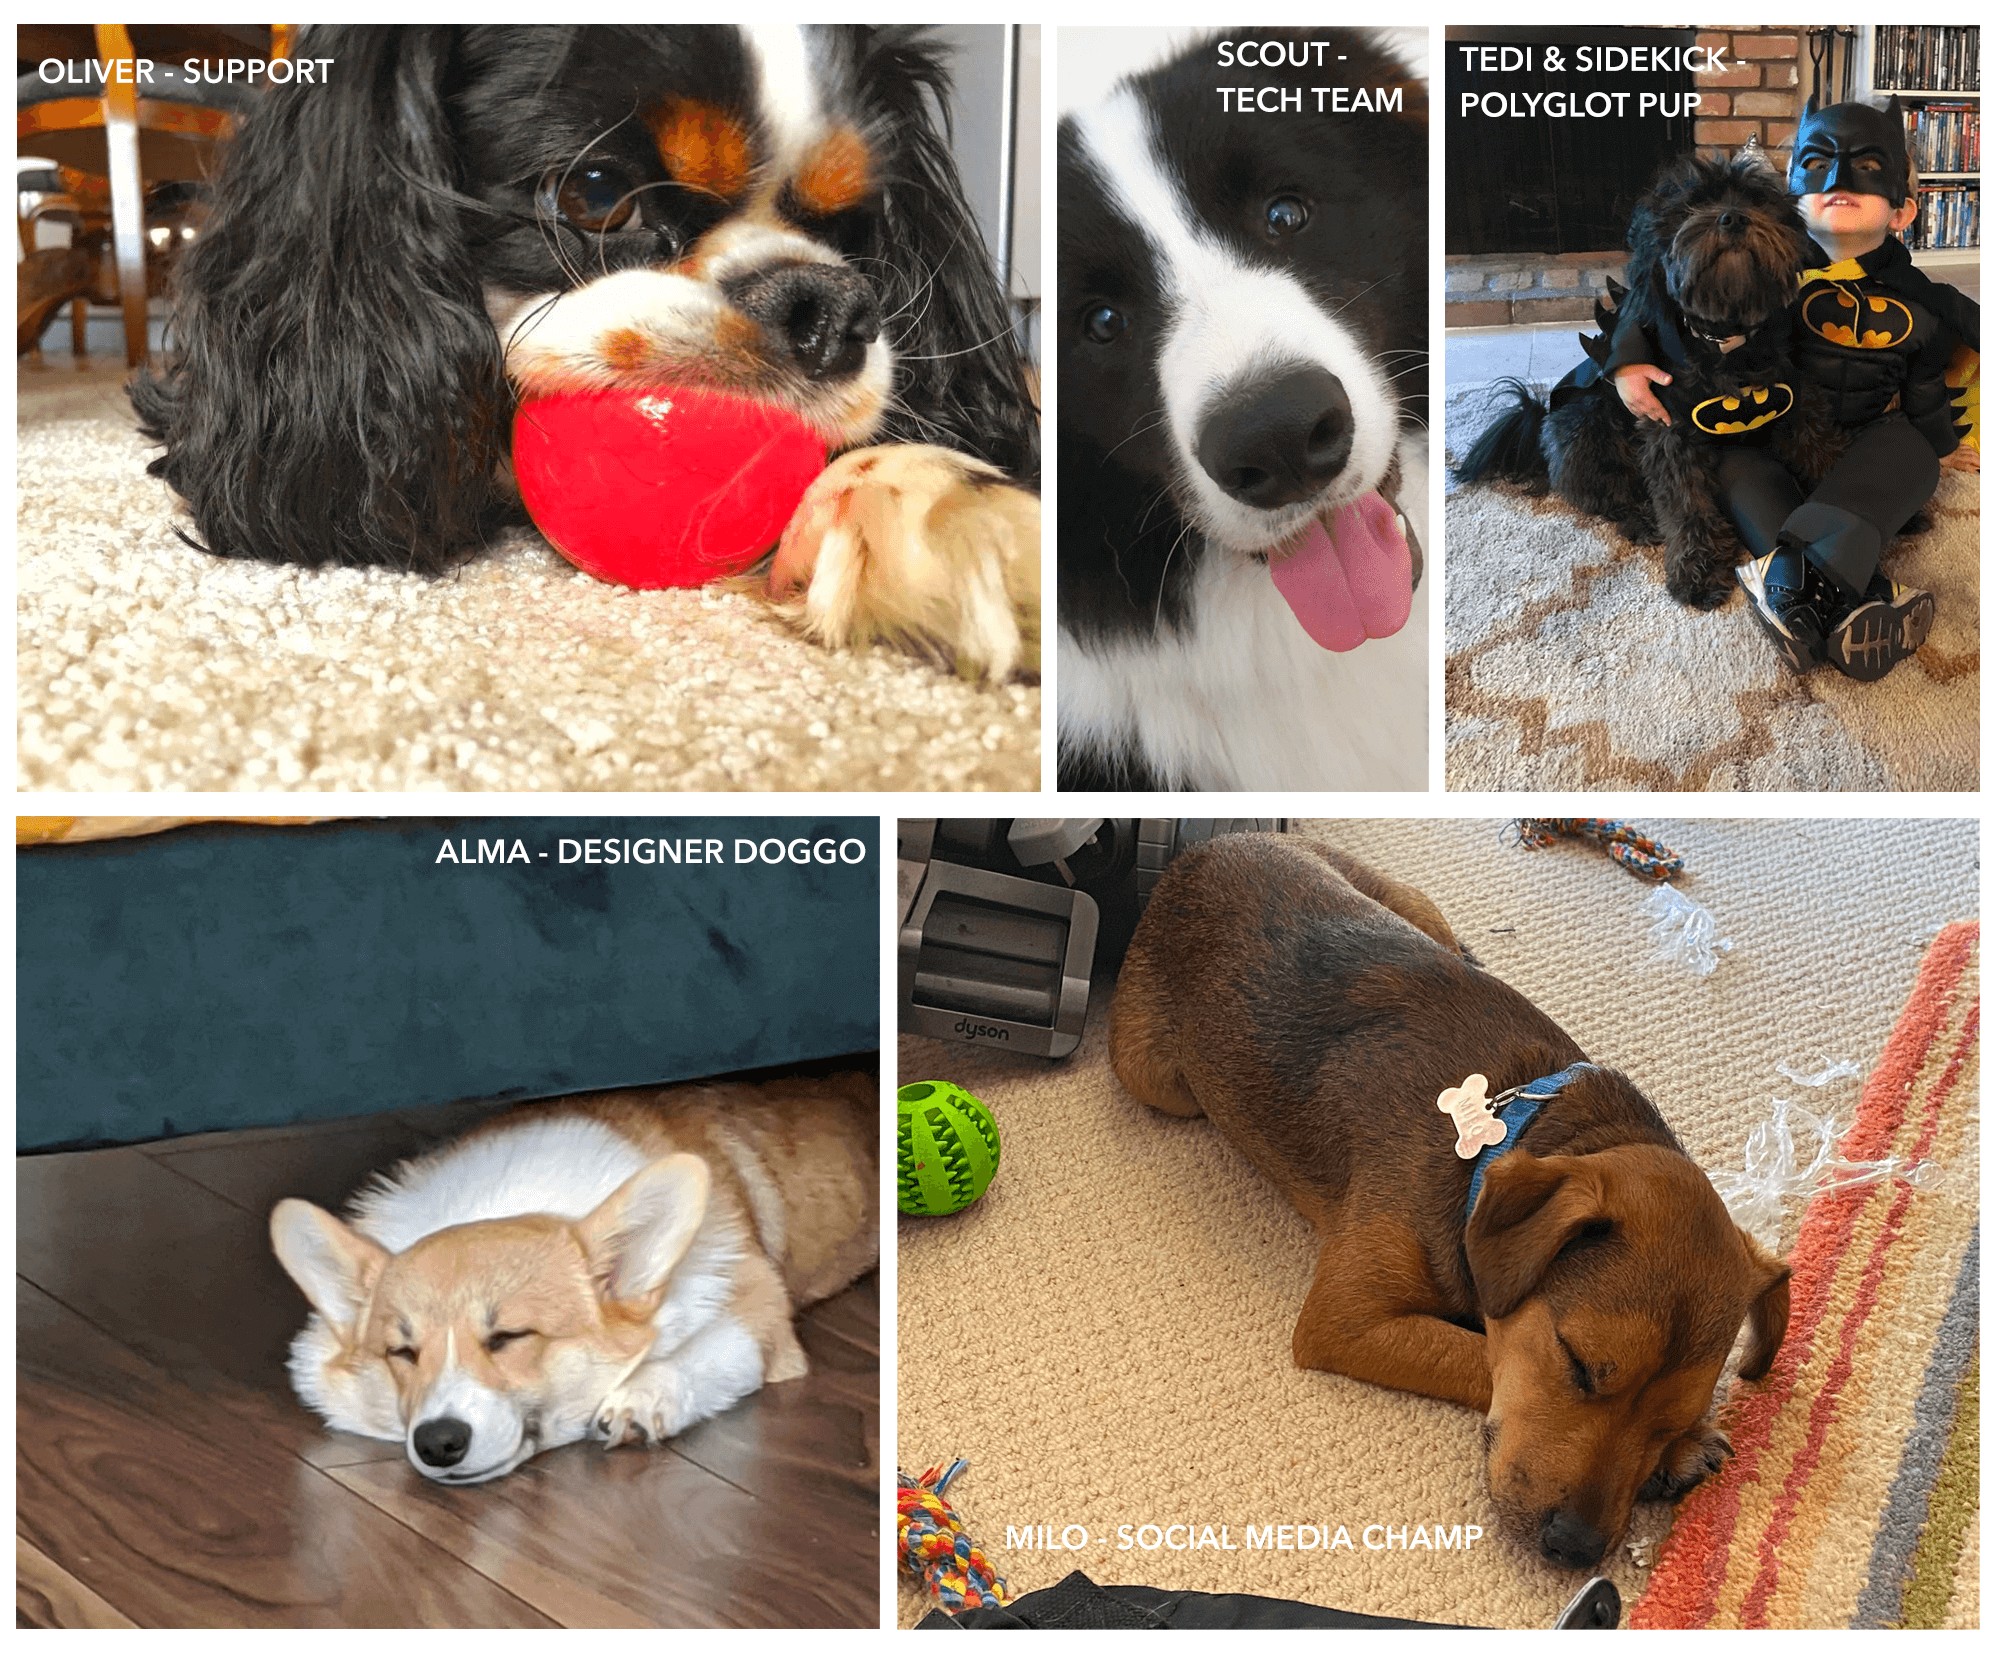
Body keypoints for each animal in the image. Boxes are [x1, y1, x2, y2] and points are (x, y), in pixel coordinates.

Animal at [1112, 832, 1800, 1568]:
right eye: (1579, 1365)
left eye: (1672, 1415)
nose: (1576, 1548)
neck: (1508, 1129)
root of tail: (1205, 848)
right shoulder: (1345, 1321)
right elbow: (1482, 1355)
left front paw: (1679, 1452)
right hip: (1156, 1080)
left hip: (1411, 904)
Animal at [1464, 153, 1832, 604]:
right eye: (1691, 206)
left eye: (1757, 200)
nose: (1731, 218)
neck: (1725, 342)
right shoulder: (1669, 432)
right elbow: (1686, 503)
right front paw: (1698, 572)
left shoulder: (1798, 397)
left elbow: (1819, 449)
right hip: (1585, 424)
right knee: (1609, 495)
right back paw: (1641, 520)